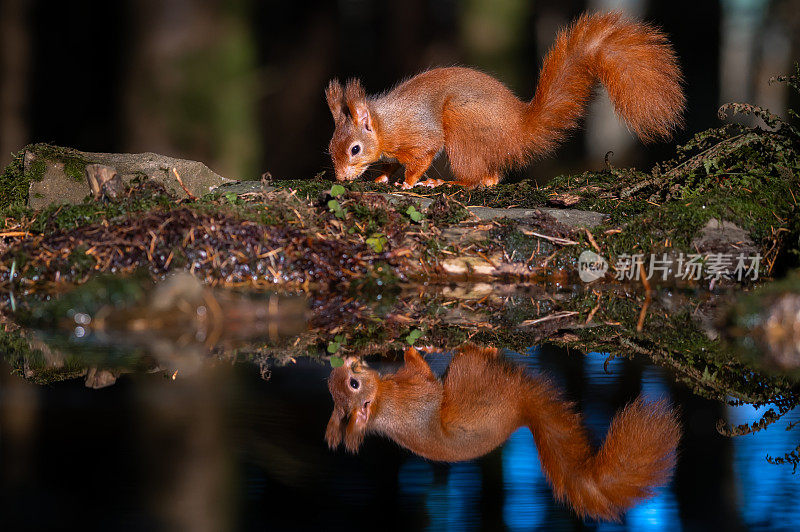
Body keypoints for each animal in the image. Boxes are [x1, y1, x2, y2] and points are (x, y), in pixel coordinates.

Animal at [322, 10, 684, 191]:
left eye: (354, 149)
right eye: (330, 147)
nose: (340, 179)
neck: (384, 124)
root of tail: (518, 131)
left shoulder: (416, 131)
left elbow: (424, 152)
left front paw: (408, 182)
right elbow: (391, 163)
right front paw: (383, 175)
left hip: (463, 125)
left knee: (478, 179)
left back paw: (445, 181)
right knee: (492, 177)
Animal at [326, 342, 680, 520]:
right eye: (353, 384)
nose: (346, 359)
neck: (384, 401)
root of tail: (520, 411)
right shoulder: (418, 398)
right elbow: (425, 377)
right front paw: (413, 347)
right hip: (470, 383)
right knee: (471, 364)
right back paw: (482, 346)